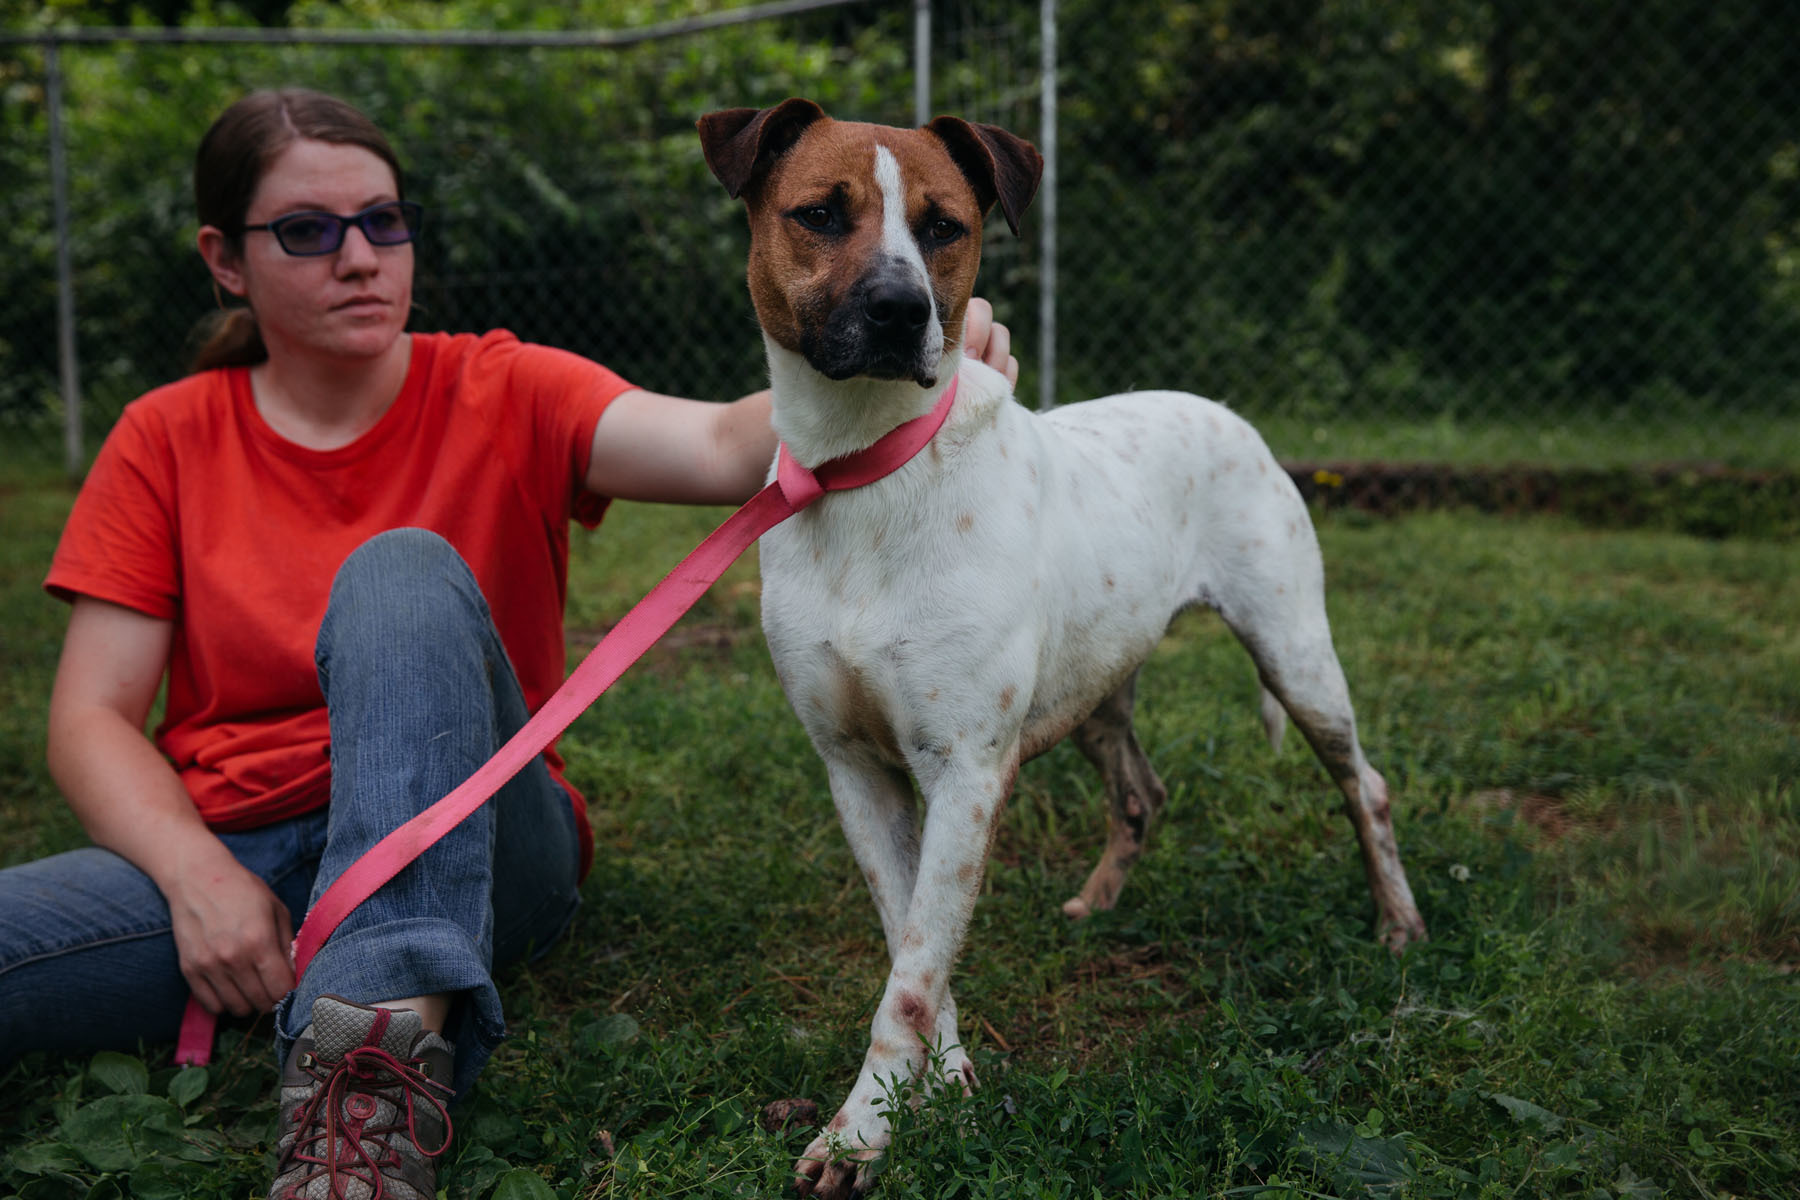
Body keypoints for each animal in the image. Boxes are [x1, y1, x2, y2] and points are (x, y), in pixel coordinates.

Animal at [694, 98, 1425, 1194]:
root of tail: (1221, 410)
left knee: (1364, 786)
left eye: (945, 226)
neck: (867, 473)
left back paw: (1397, 924)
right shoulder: (860, 773)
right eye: (820, 213)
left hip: (1297, 660)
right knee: (1142, 791)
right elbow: (913, 944)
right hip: (1094, 689)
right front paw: (943, 1090)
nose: (900, 311)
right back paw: (1100, 901)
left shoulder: (965, 771)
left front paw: (862, 1132)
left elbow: (912, 978)